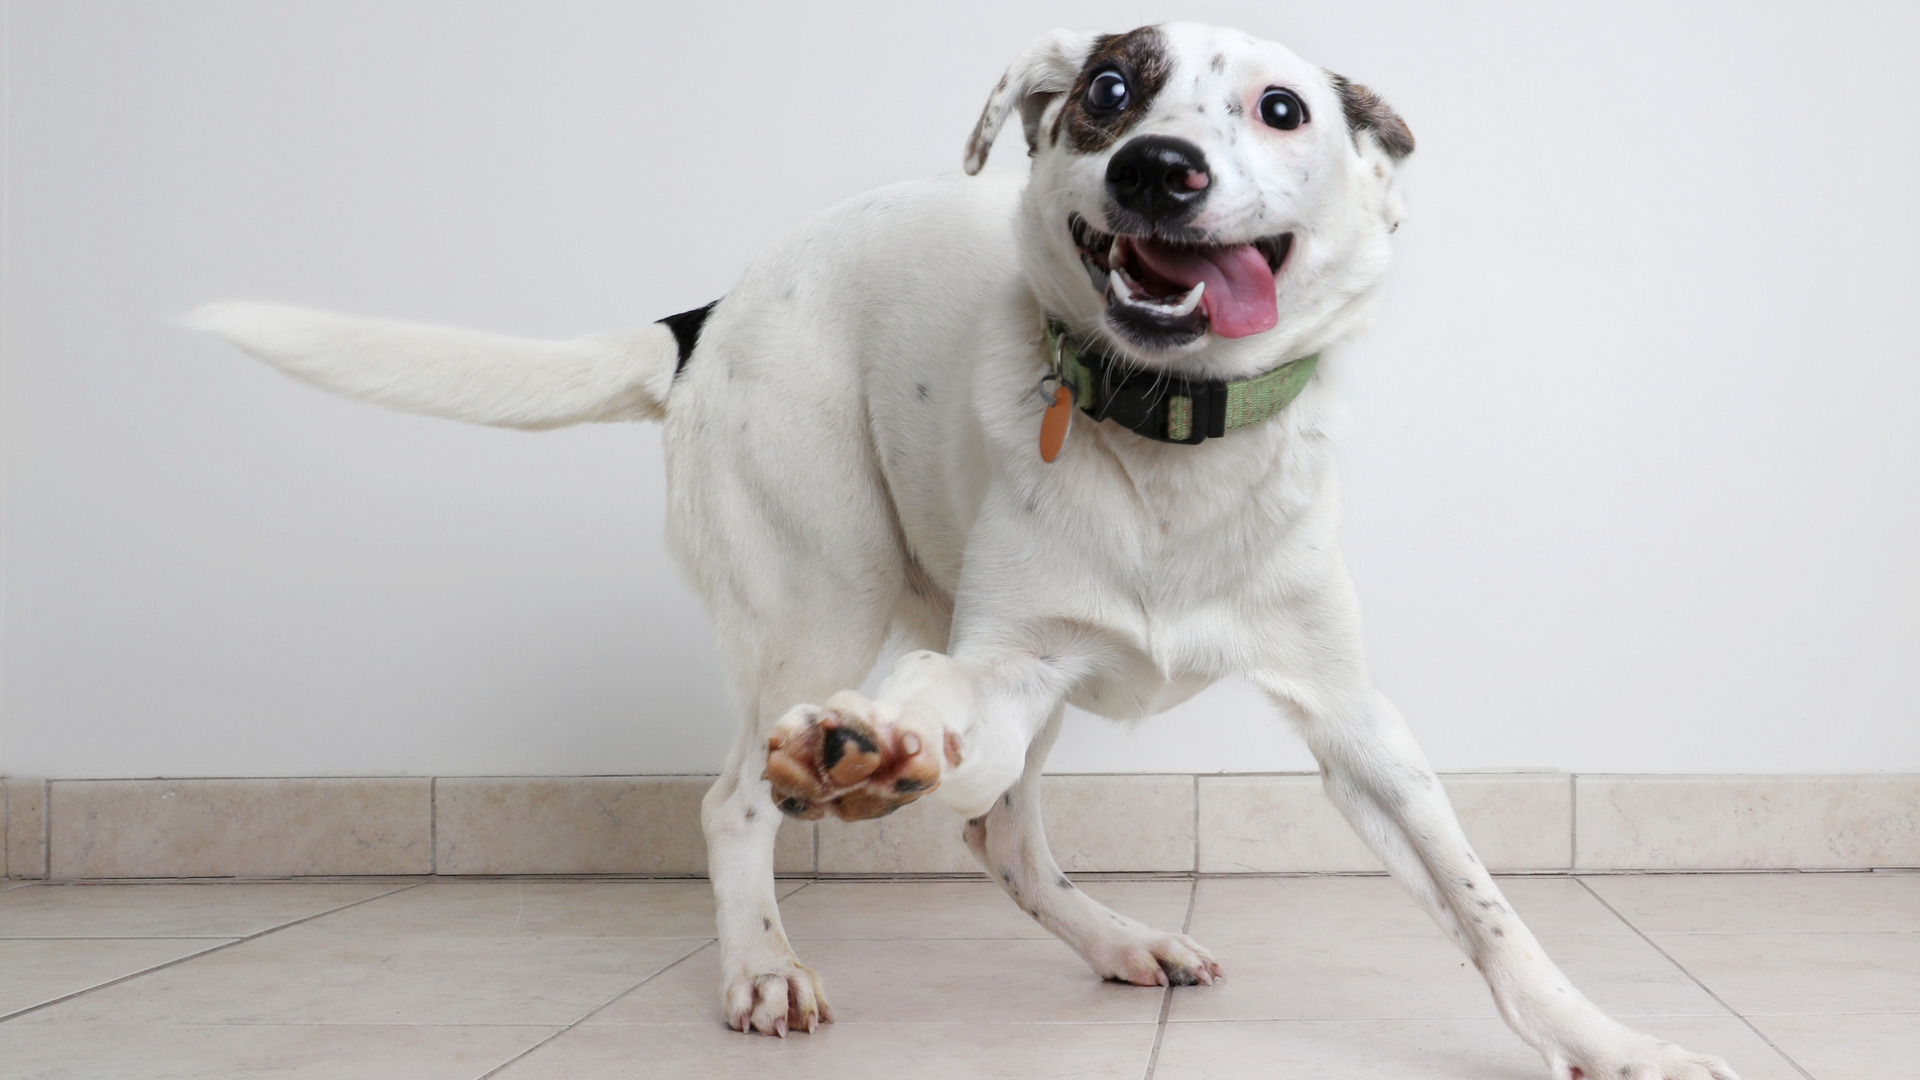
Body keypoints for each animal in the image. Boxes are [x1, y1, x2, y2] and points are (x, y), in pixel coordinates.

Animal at [194, 23, 1743, 1076]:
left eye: (1281, 108)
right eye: (1111, 91)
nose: (1157, 167)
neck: (1166, 436)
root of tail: (710, 309)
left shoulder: (1357, 722)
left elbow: (1486, 906)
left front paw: (1609, 1039)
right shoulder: (1002, 662)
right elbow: (923, 731)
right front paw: (870, 754)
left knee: (999, 827)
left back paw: (1114, 934)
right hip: (821, 592)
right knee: (743, 801)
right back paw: (772, 953)